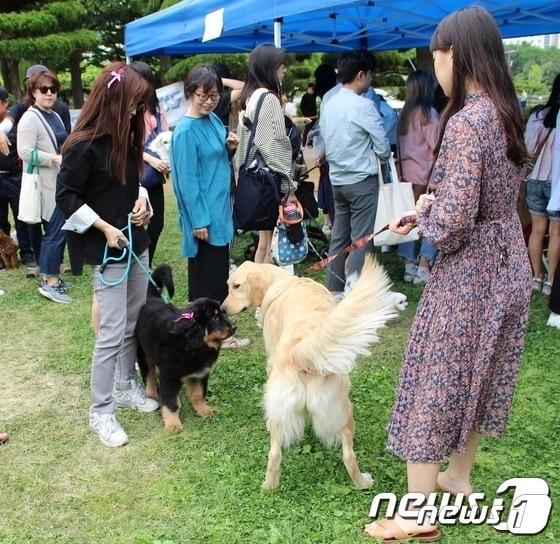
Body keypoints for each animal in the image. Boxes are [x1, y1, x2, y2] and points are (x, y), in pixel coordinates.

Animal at [137, 266, 235, 432]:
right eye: (214, 317)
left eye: (222, 314)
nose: (234, 327)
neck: (193, 345)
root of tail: (150, 297)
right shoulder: (170, 377)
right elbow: (170, 402)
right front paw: (173, 424)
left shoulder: (200, 374)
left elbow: (198, 394)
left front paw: (204, 410)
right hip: (142, 351)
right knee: (148, 375)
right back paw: (153, 394)